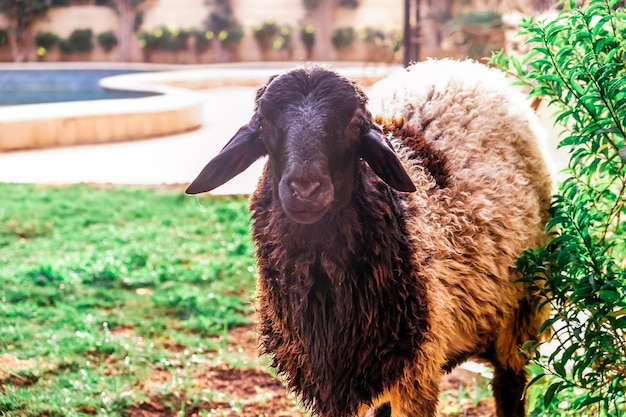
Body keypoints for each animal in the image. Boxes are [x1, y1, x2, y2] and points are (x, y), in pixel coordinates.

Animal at [185, 59, 552, 417]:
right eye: (263, 123)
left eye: (354, 123)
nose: (305, 190)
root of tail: (469, 71)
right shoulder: (330, 378)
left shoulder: (417, 371)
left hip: (519, 313)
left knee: (509, 385)